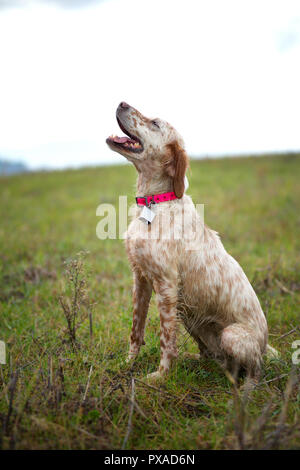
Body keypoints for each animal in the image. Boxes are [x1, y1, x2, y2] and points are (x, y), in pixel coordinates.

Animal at [106, 102, 278, 382]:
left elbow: (167, 340)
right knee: (210, 356)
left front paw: (161, 376)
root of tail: (265, 344)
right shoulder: (140, 278)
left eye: (155, 123)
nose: (122, 103)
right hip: (190, 317)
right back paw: (194, 361)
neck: (156, 201)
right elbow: (136, 329)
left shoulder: (166, 285)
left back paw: (246, 387)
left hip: (230, 334)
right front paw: (127, 363)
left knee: (255, 369)